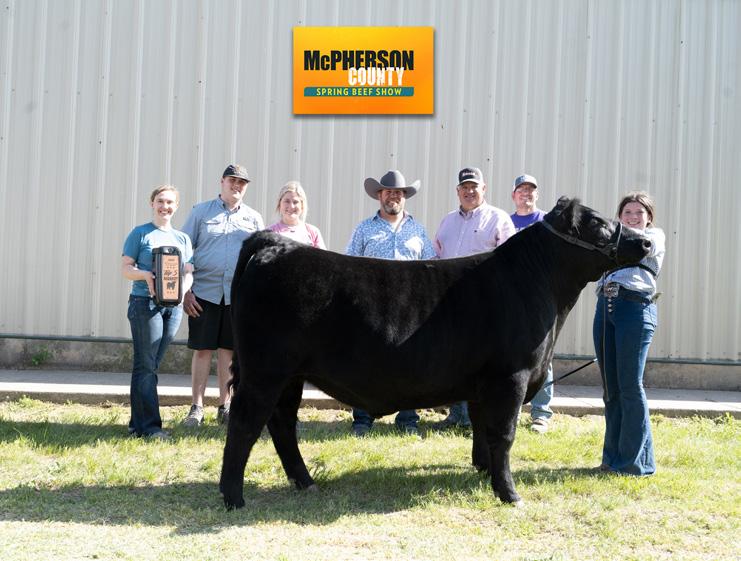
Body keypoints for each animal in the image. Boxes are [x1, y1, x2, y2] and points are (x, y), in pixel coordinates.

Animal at [219, 197, 652, 508]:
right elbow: (504, 433)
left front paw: (483, 474)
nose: (646, 241)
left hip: (289, 375)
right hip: (265, 370)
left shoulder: (483, 383)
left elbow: (483, 430)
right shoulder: (511, 375)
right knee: (244, 423)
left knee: (281, 424)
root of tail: (276, 244)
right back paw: (233, 497)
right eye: (597, 222)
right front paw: (509, 493)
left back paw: (305, 482)